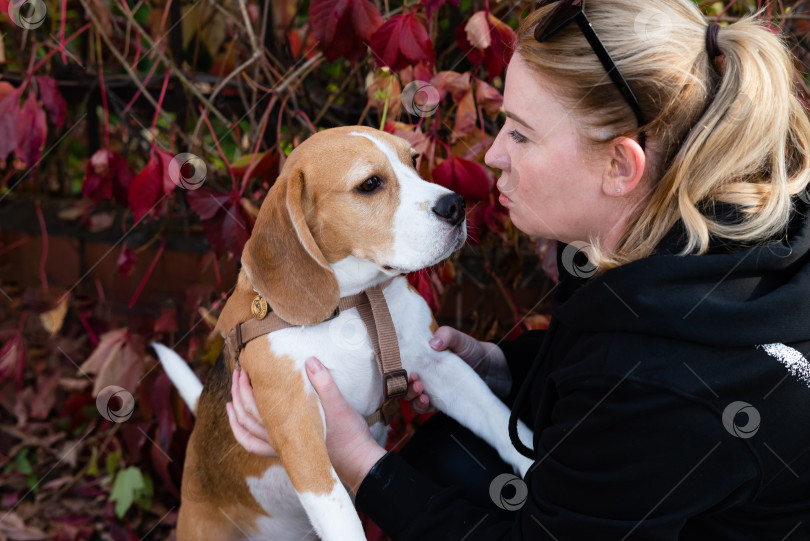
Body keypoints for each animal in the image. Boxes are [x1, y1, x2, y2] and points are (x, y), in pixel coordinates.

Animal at [154, 126, 532, 540]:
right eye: (369, 184)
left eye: (413, 160)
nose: (456, 206)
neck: (353, 304)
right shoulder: (299, 426)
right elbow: (341, 516)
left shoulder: (440, 365)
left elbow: (501, 421)